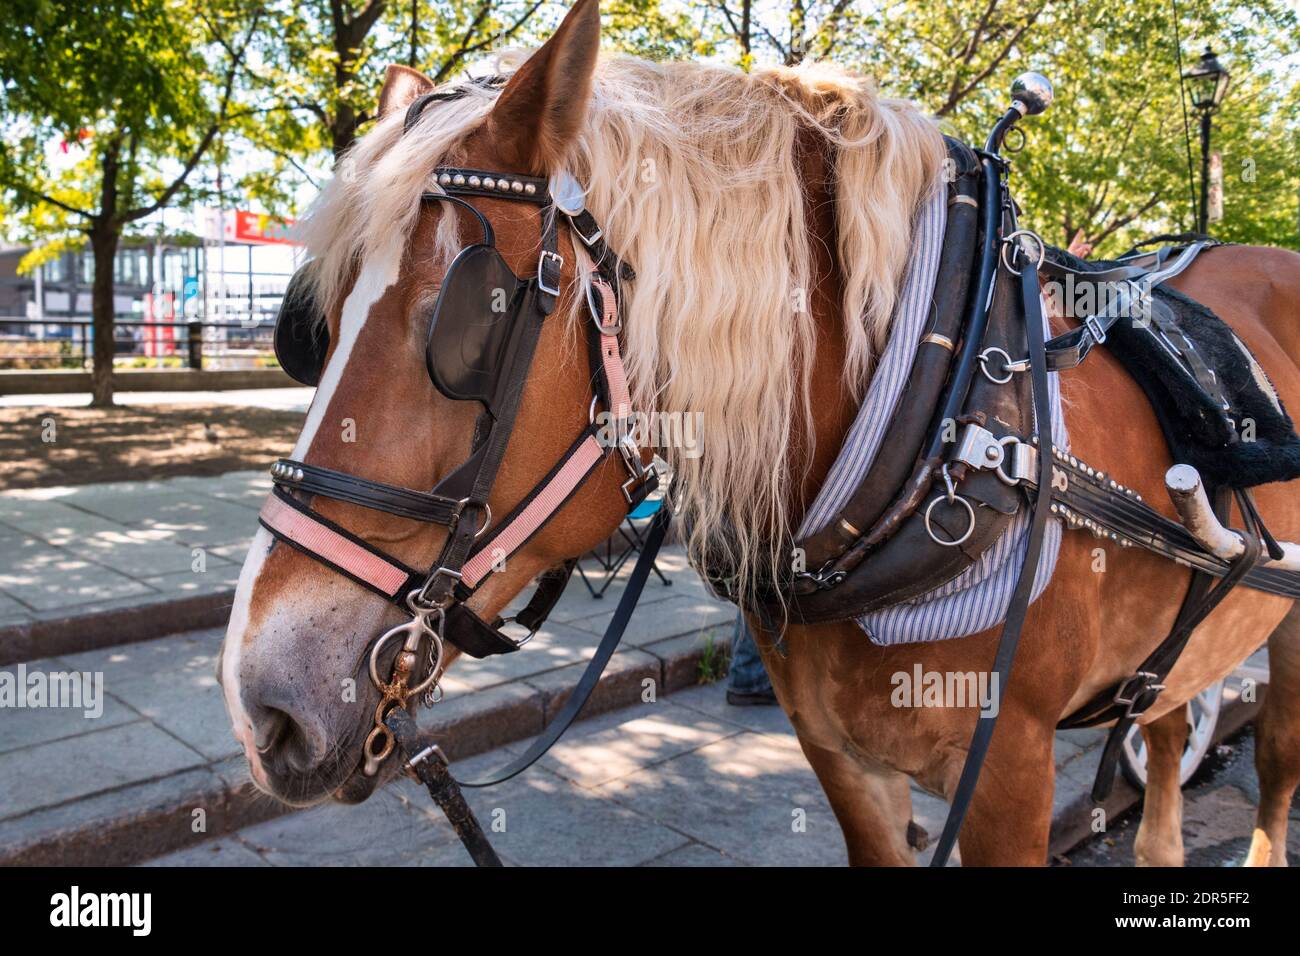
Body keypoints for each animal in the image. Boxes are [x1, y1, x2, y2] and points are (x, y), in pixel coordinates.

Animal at [218, 0, 1300, 865]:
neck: (940, 427)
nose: (260, 701)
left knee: (1274, 760)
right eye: (313, 329)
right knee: (1173, 723)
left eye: (470, 323)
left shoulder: (1011, 776)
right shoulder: (843, 760)